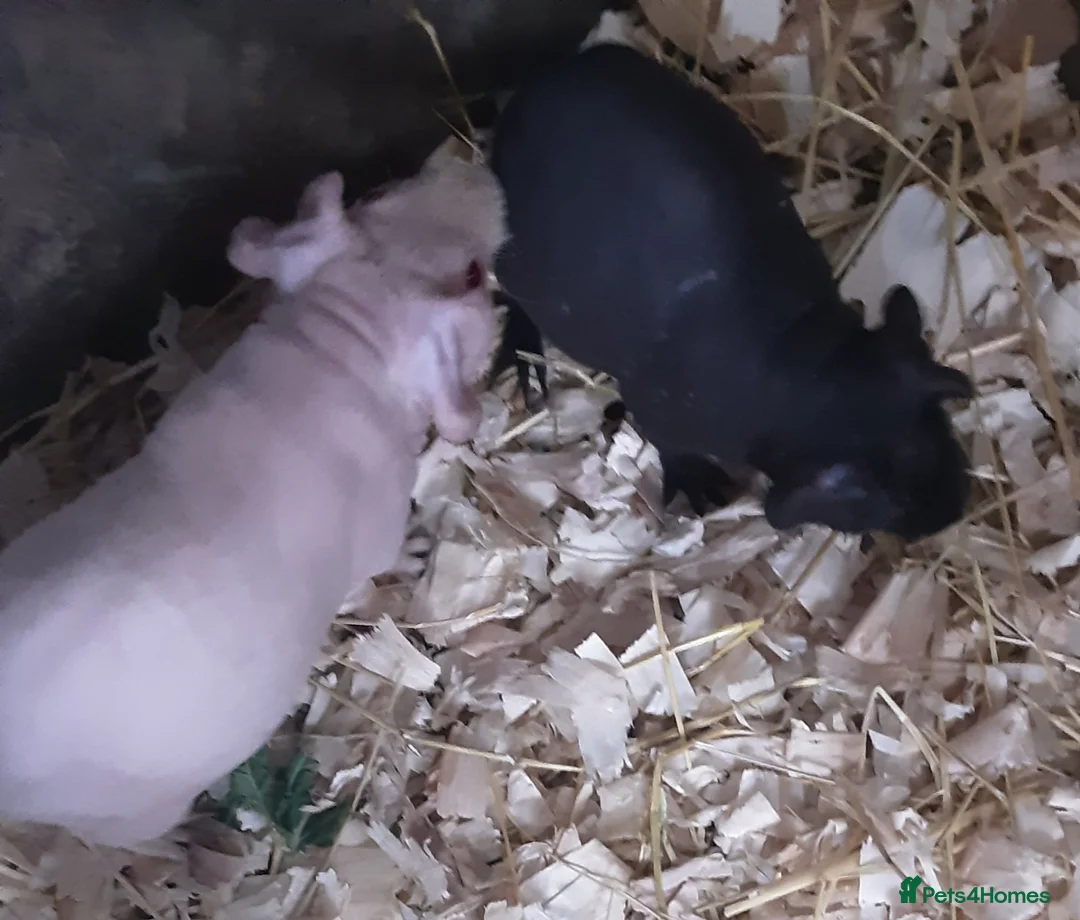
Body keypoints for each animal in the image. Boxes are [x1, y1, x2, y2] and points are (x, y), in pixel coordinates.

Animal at [0, 153, 507, 848]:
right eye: (473, 273)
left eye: (374, 193)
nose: (479, 169)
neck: (336, 339)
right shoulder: (376, 524)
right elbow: (374, 568)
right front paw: (416, 552)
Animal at [488, 42, 973, 541]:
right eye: (883, 498)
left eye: (941, 432)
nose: (952, 511)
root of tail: (533, 91)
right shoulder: (658, 410)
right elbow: (670, 446)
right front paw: (704, 494)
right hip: (512, 262)